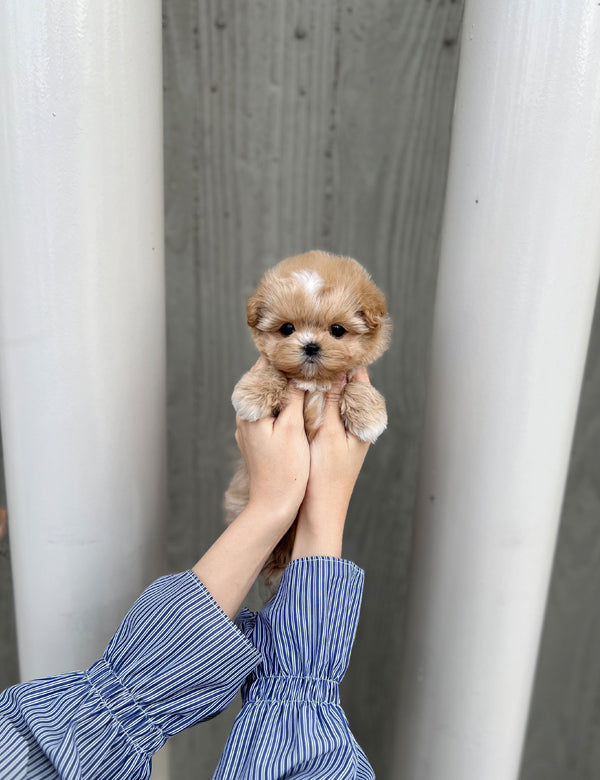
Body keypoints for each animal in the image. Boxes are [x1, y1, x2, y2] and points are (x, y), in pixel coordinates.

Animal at [224, 250, 390, 584]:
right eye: (287, 329)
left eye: (337, 330)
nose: (311, 346)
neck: (313, 381)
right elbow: (275, 371)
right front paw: (252, 392)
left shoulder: (352, 375)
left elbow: (355, 385)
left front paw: (368, 415)